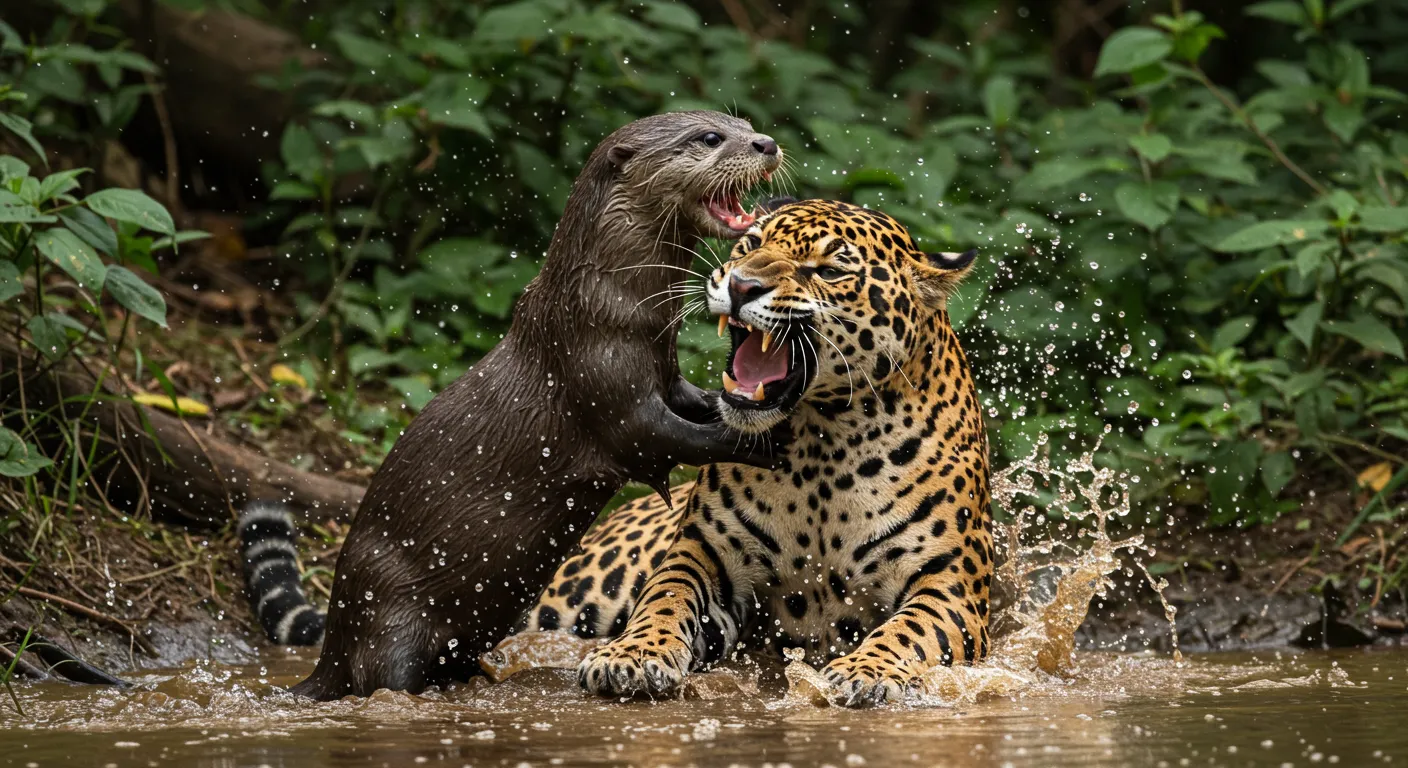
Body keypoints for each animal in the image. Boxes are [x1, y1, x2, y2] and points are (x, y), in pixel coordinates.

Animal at [246, 110, 788, 698]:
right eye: (710, 138)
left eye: (743, 122)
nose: (767, 142)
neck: (606, 305)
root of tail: (333, 649)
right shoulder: (601, 378)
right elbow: (662, 438)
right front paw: (767, 439)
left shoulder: (665, 371)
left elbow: (701, 402)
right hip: (387, 616)